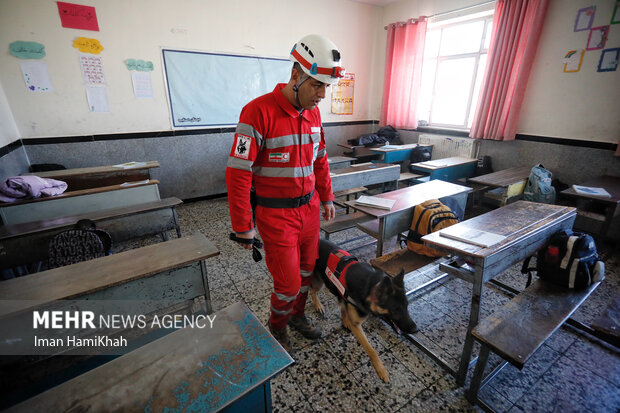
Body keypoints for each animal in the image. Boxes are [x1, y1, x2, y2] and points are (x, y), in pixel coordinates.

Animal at [310, 238, 416, 384]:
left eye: (406, 306)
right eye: (396, 310)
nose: (415, 329)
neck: (369, 286)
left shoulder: (345, 299)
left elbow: (344, 308)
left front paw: (345, 320)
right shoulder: (357, 326)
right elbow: (371, 350)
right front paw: (381, 369)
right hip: (318, 282)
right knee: (311, 291)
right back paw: (318, 305)